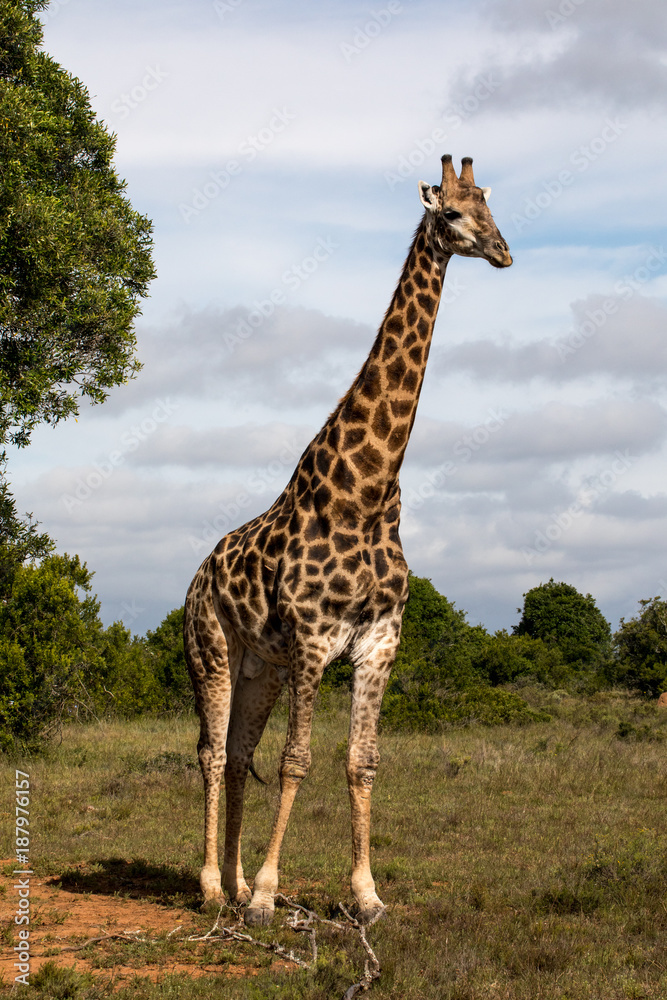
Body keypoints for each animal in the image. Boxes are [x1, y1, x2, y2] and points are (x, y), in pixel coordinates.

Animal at [184, 154, 512, 926]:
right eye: (451, 213)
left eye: (490, 205)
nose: (503, 252)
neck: (366, 494)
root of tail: (195, 576)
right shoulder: (312, 638)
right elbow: (297, 760)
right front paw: (269, 895)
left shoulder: (379, 640)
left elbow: (361, 761)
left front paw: (365, 894)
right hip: (213, 651)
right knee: (210, 753)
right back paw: (214, 885)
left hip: (261, 668)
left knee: (237, 754)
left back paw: (232, 883)